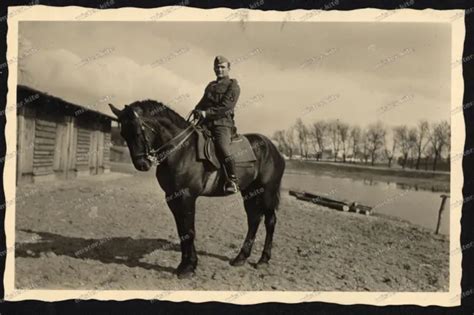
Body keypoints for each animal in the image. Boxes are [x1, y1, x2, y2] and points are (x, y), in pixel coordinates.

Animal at [108, 100, 286, 278]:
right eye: (123, 133)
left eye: (138, 132)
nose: (142, 165)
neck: (181, 150)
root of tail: (273, 148)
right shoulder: (172, 197)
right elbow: (182, 231)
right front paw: (185, 264)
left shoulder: (187, 197)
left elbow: (190, 230)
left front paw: (189, 267)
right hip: (250, 192)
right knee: (253, 220)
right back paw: (241, 257)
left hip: (267, 192)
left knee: (270, 221)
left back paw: (263, 260)